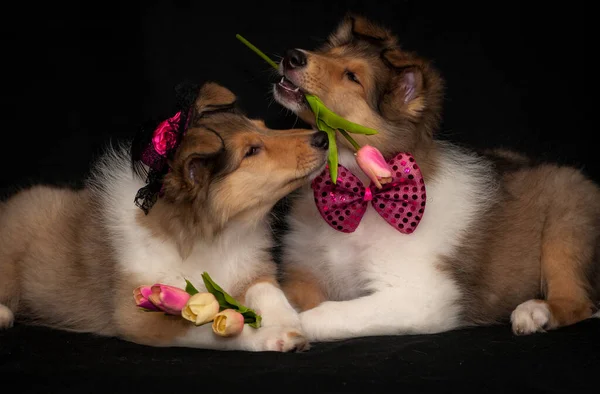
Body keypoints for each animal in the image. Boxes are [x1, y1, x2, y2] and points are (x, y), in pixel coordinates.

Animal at [0, 82, 328, 350]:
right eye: (251, 151)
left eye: (263, 126)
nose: (323, 137)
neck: (212, 235)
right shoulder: (142, 316)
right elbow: (216, 332)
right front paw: (276, 336)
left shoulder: (249, 267)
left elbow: (268, 289)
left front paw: (290, 319)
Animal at [274, 14, 600, 342]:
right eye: (330, 52)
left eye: (352, 77)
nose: (292, 56)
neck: (355, 189)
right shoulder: (303, 275)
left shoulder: (422, 294)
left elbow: (324, 314)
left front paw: (277, 329)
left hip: (568, 220)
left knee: (577, 301)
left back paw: (534, 312)